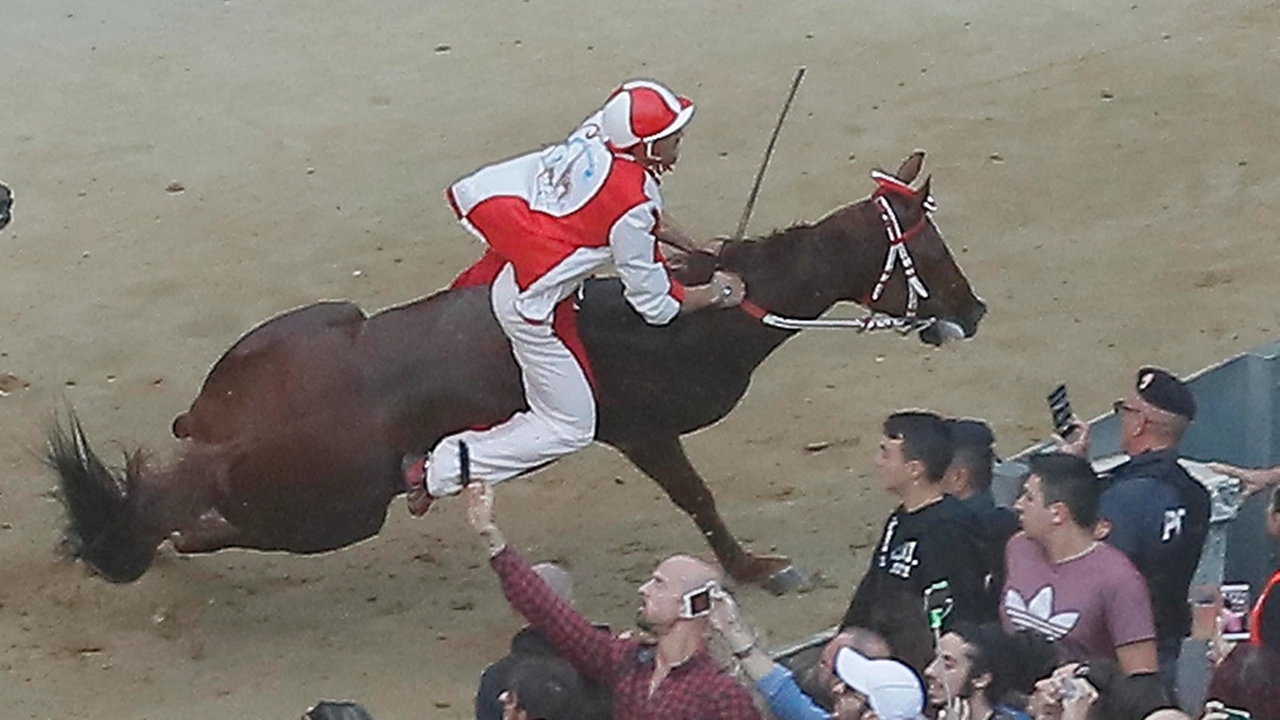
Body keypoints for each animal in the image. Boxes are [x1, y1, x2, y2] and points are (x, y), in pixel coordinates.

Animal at [45, 148, 983, 586]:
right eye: (931, 249)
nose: (973, 312)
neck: (696, 323)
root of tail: (224, 435)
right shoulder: (642, 431)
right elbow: (698, 498)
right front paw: (755, 568)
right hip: (332, 511)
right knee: (194, 520)